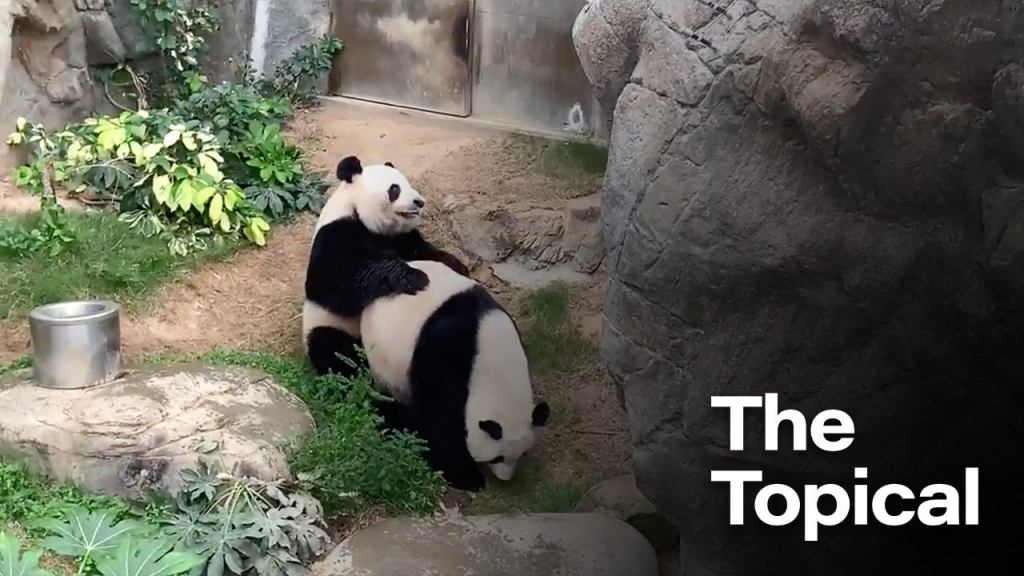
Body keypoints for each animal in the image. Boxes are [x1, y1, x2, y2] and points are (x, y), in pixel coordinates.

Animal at [299, 154, 468, 375]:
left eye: (408, 183)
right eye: (395, 189)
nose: (419, 202)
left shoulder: (401, 237)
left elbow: (423, 251)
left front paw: (457, 266)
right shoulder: (334, 236)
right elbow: (336, 285)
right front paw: (414, 277)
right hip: (328, 322)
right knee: (332, 348)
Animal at [360, 260, 552, 487]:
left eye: (522, 454)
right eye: (497, 458)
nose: (505, 478)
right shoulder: (444, 356)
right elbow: (440, 416)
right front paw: (467, 476)